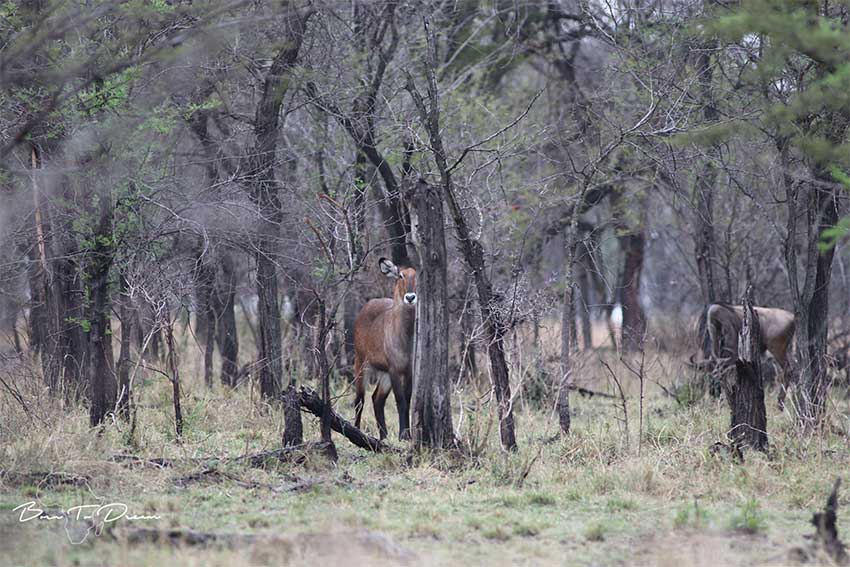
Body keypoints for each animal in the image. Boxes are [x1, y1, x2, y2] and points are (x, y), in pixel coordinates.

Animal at [352, 256, 416, 440]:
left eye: (416, 275)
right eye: (401, 275)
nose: (410, 297)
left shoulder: (408, 370)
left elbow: (408, 399)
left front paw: (407, 435)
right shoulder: (394, 369)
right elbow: (400, 401)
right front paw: (403, 436)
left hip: (384, 374)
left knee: (377, 399)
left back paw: (384, 436)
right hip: (362, 364)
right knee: (360, 399)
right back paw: (356, 430)